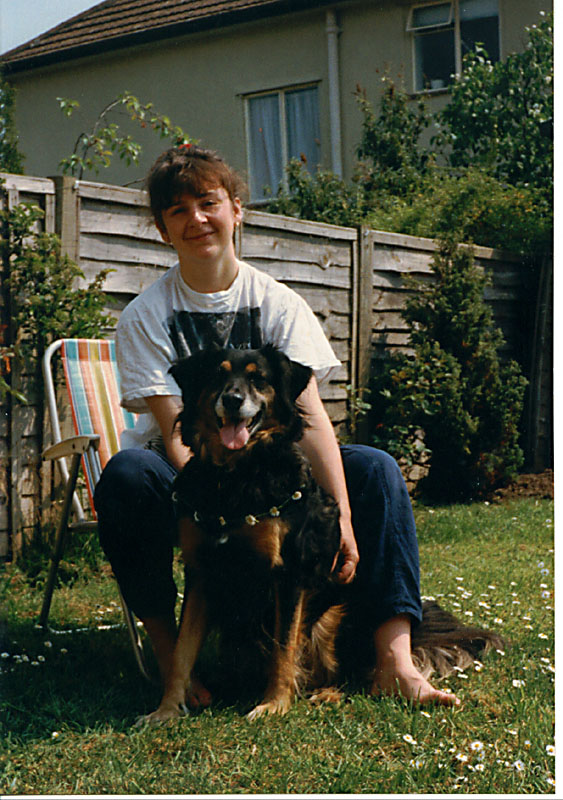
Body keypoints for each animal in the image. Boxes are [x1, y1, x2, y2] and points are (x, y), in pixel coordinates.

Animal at [143, 346, 504, 724]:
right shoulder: (201, 573)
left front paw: (274, 704)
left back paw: (331, 693)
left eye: (258, 378)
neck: (237, 475)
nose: (232, 399)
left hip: (336, 617)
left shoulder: (288, 573)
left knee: (362, 675)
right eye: (217, 374)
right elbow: (182, 652)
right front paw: (166, 709)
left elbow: (284, 646)